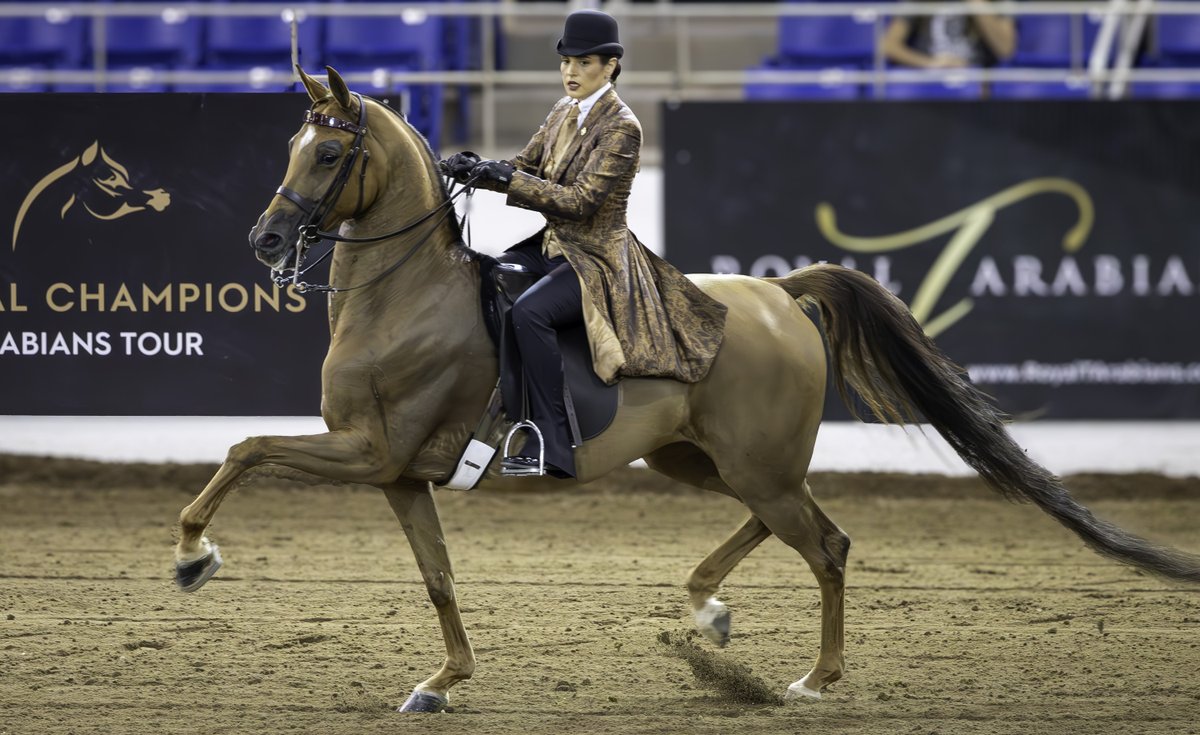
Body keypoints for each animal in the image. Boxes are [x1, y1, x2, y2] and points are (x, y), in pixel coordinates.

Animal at [174, 67, 1200, 710]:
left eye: (330, 152)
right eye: (294, 144)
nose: (267, 242)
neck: (404, 297)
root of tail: (781, 296)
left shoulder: (369, 451)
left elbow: (244, 446)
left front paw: (193, 554)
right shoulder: (397, 476)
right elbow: (438, 578)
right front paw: (441, 680)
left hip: (752, 465)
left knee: (824, 542)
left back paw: (813, 679)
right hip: (699, 460)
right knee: (793, 526)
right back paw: (708, 607)